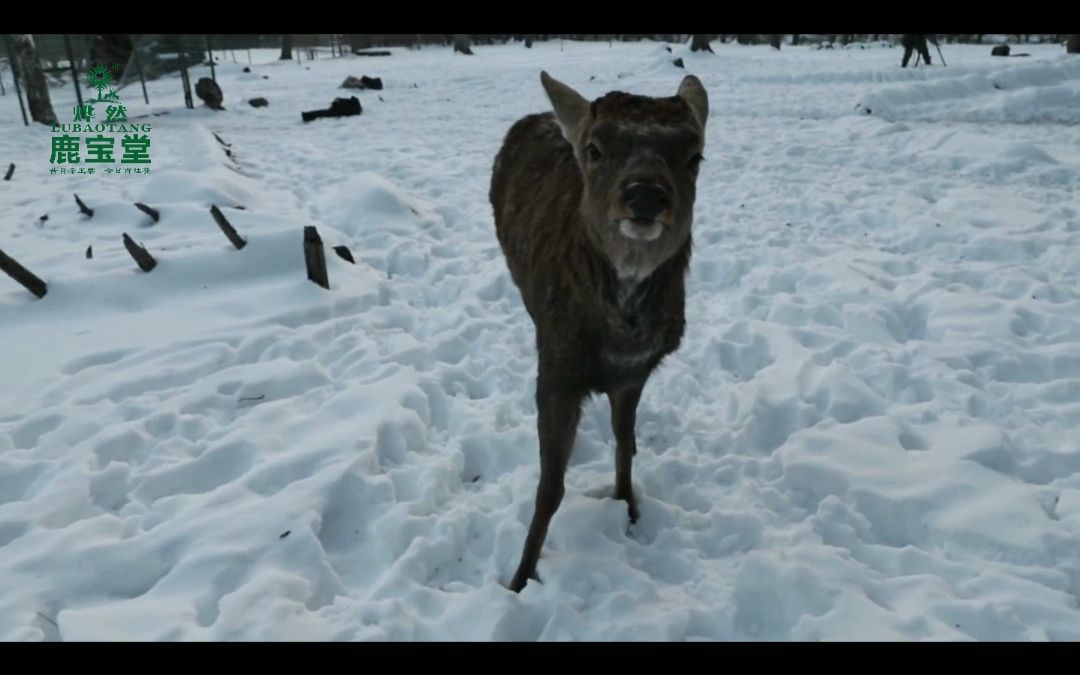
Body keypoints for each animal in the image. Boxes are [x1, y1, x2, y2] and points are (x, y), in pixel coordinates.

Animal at [490, 69, 708, 587]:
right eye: (594, 148)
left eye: (695, 154)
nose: (645, 193)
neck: (619, 337)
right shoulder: (555, 370)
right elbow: (550, 486)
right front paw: (520, 578)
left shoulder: (637, 371)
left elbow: (625, 443)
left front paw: (628, 507)